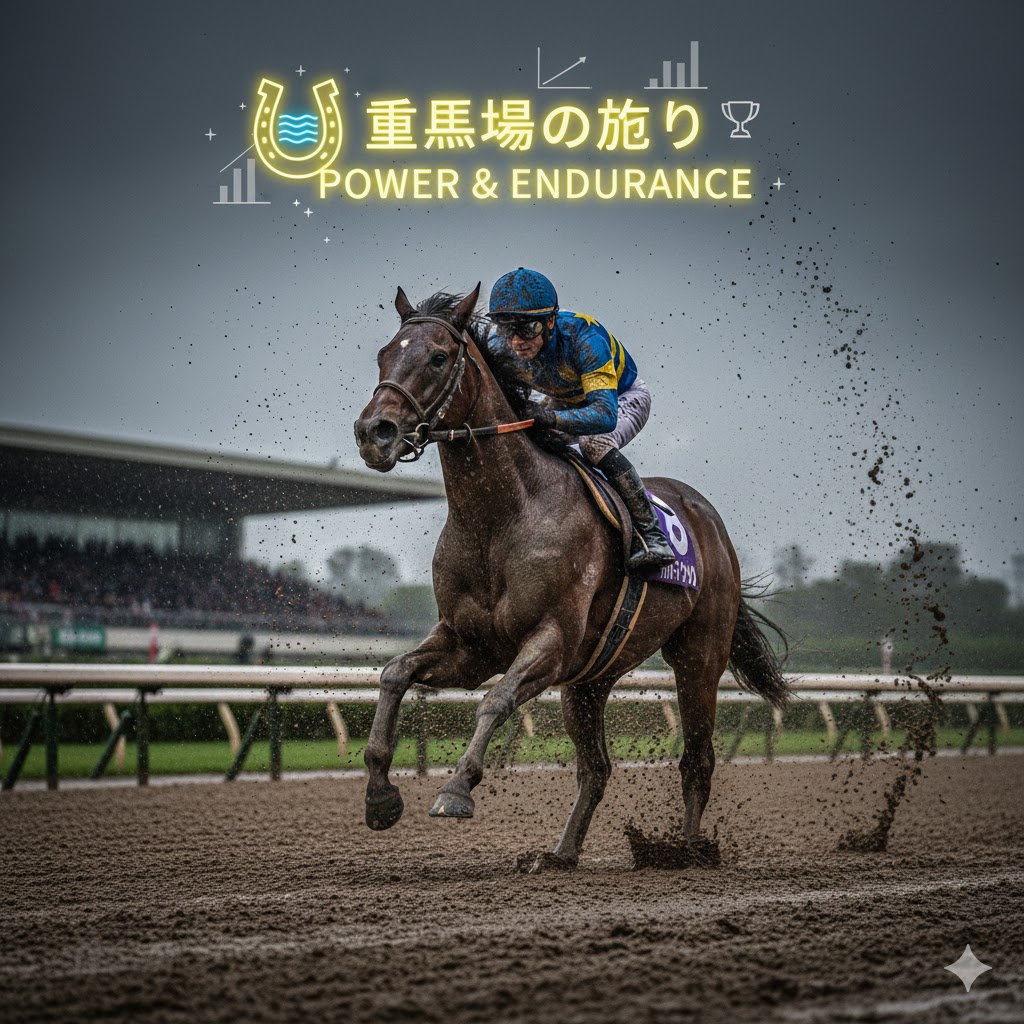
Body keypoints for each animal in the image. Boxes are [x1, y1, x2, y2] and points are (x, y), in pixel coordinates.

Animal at [353, 284, 789, 871]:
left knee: (697, 759)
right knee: (596, 768)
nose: (373, 433)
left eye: (439, 357)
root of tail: (709, 520)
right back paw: (561, 853)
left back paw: (687, 852)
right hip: (591, 679)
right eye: (383, 354)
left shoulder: (552, 642)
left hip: (699, 656)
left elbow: (496, 701)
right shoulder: (471, 646)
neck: (501, 517)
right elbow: (394, 674)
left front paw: (455, 790)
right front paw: (380, 796)